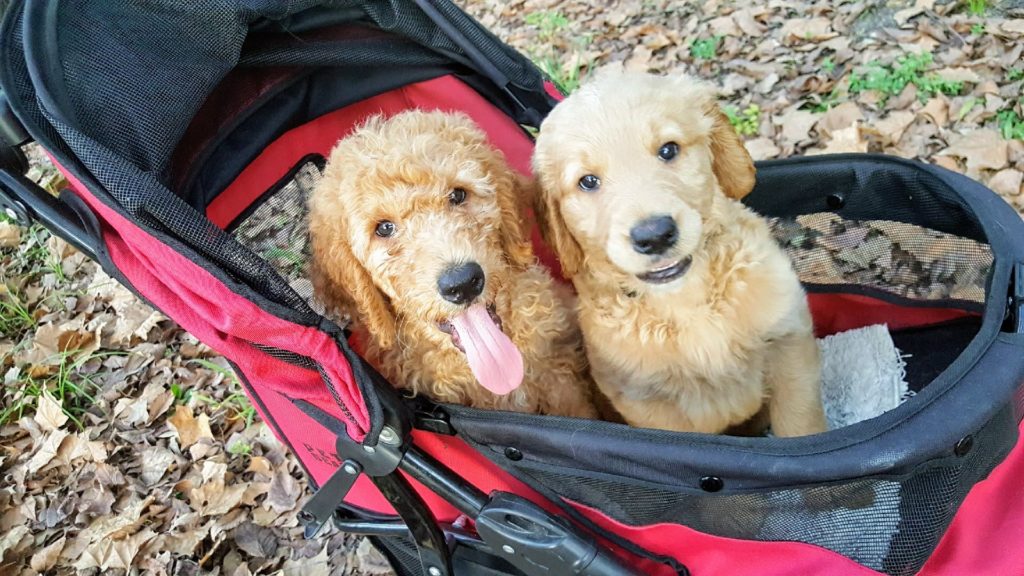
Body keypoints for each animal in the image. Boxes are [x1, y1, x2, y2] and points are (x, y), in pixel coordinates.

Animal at [532, 71, 827, 432]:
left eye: (669, 149)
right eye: (587, 181)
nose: (654, 235)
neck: (684, 298)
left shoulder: (790, 342)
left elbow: (801, 425)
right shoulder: (644, 401)